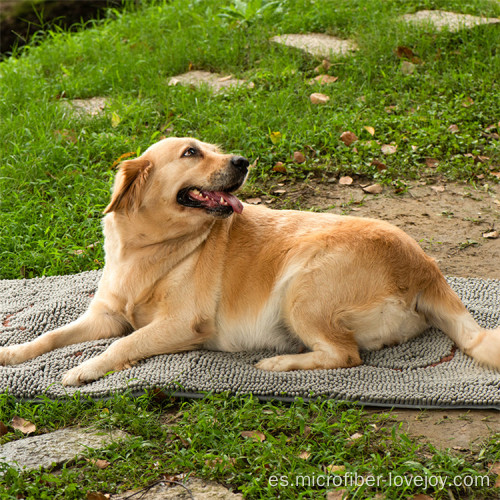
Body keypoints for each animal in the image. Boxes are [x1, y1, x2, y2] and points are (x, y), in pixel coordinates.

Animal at [0, 139, 500, 384]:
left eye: (210, 147)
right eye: (191, 152)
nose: (242, 160)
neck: (151, 247)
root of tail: (425, 265)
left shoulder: (180, 325)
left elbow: (121, 346)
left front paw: (83, 369)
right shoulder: (104, 316)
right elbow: (49, 336)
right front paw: (13, 353)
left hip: (302, 285)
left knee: (345, 356)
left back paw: (277, 365)